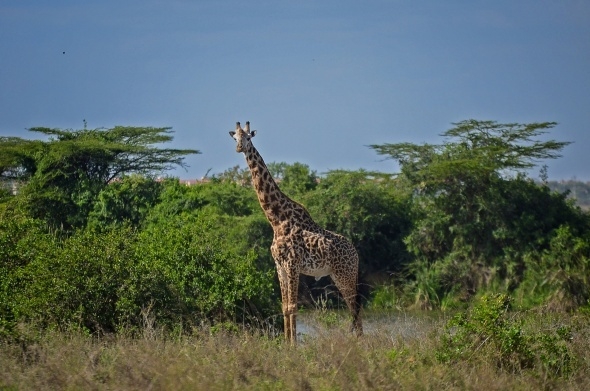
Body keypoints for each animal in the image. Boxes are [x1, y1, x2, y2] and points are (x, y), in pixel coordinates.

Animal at [229, 121, 364, 344]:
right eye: (235, 138)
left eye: (248, 137)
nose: (240, 148)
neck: (276, 220)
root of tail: (356, 253)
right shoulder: (279, 265)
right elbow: (284, 307)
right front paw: (286, 344)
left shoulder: (292, 264)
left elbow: (293, 307)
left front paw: (293, 346)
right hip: (338, 275)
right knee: (354, 307)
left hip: (345, 274)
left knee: (355, 307)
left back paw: (359, 343)